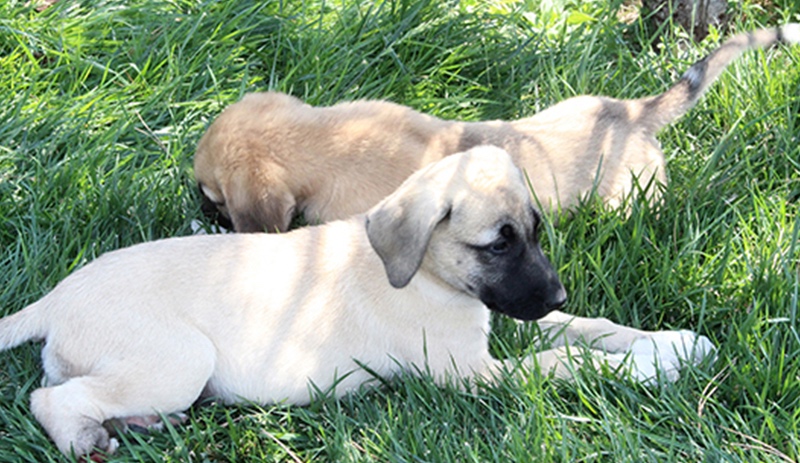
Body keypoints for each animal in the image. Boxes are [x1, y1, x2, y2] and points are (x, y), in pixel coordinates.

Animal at [0, 147, 712, 458]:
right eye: (497, 244)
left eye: (536, 233)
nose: (556, 288)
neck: (423, 273)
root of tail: (55, 297)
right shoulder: (473, 373)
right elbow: (565, 363)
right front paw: (656, 366)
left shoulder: (501, 325)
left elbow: (587, 328)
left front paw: (674, 341)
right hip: (177, 361)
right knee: (48, 398)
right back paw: (85, 438)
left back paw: (143, 423)